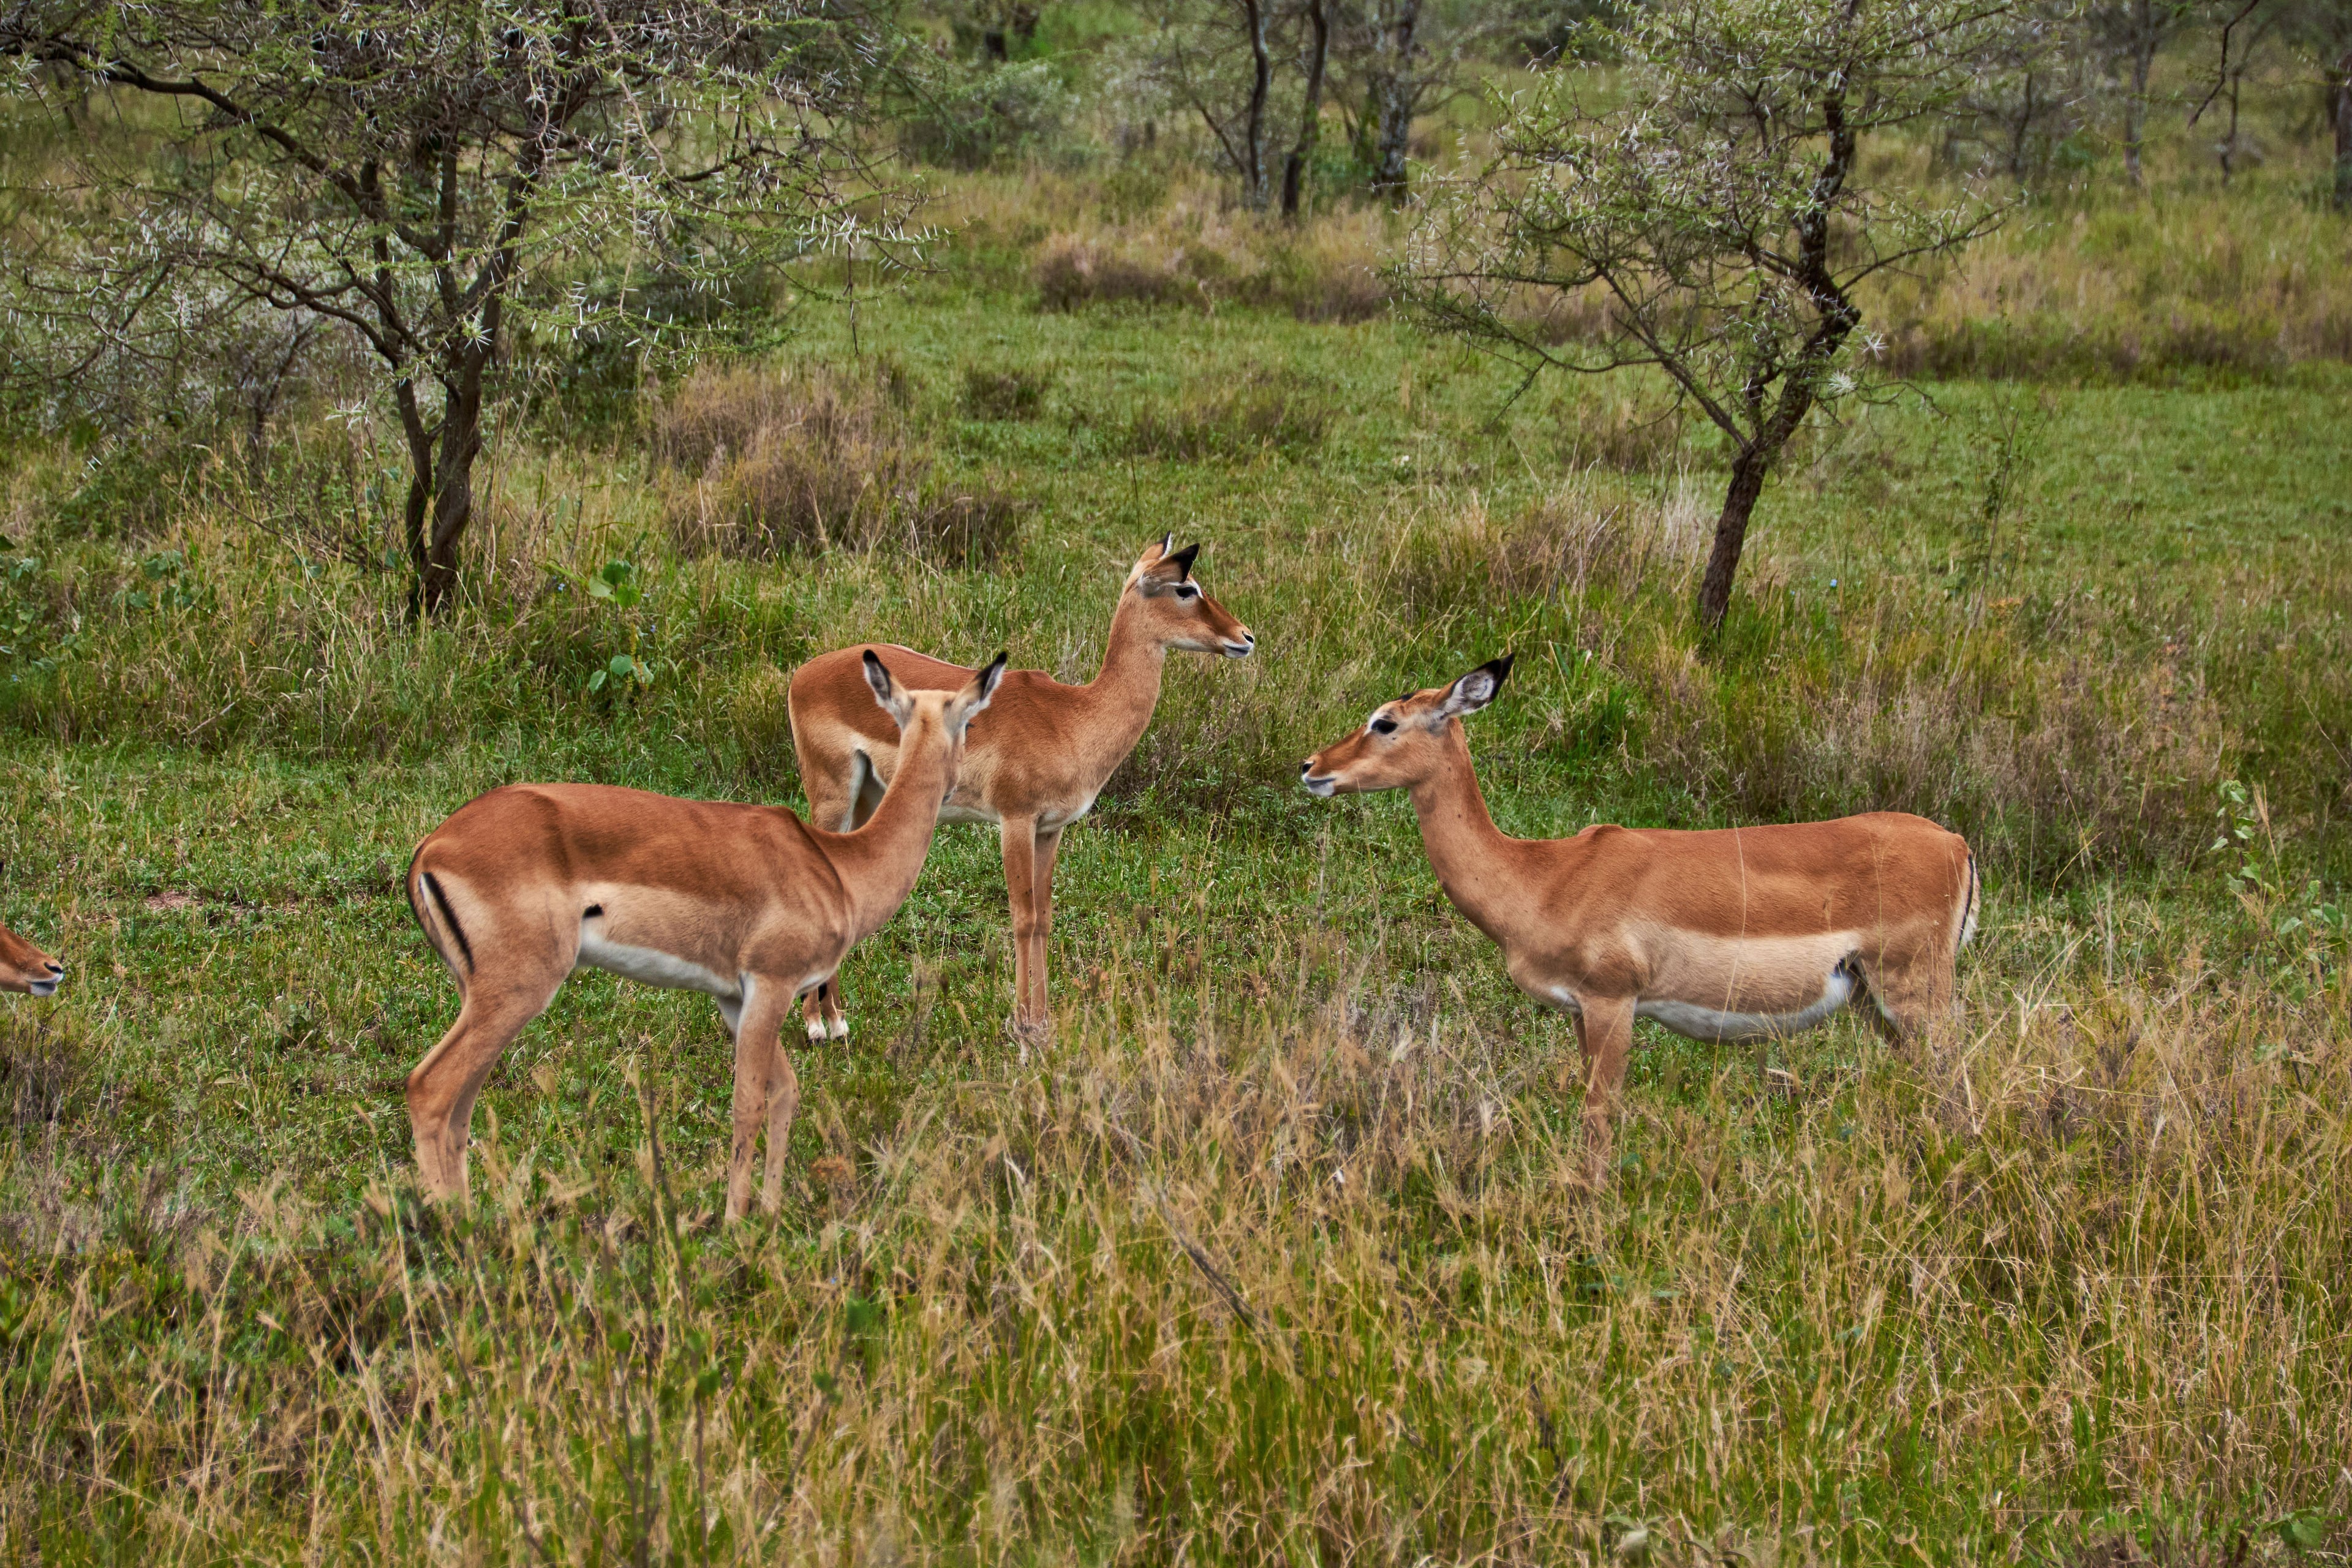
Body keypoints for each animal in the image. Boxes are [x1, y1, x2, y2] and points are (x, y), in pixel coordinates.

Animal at [405, 651, 1005, 1220]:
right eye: (971, 722)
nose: (961, 787)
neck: (837, 868)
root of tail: (430, 849)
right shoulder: (770, 985)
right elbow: (748, 1102)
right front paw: (737, 1221)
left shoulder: (733, 998)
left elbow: (785, 1092)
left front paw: (769, 1209)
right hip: (517, 992)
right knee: (429, 1089)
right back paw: (455, 1230)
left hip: (483, 1000)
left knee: (461, 1109)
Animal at [788, 536, 1253, 1040]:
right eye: (1186, 588)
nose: (1245, 636)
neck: (1073, 716)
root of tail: (801, 674)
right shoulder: (1014, 821)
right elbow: (1023, 918)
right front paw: (1023, 1024)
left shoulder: (1051, 828)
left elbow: (1045, 918)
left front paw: (1044, 1021)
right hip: (832, 795)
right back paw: (816, 1026)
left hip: (869, 799)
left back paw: (837, 1020)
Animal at [1300, 656, 1977, 1170]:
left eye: (1385, 721)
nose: (1311, 767)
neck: (1542, 876)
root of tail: (1957, 844)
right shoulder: (1579, 1011)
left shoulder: (1613, 1002)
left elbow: (1600, 1120)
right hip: (1875, 1002)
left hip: (1916, 994)